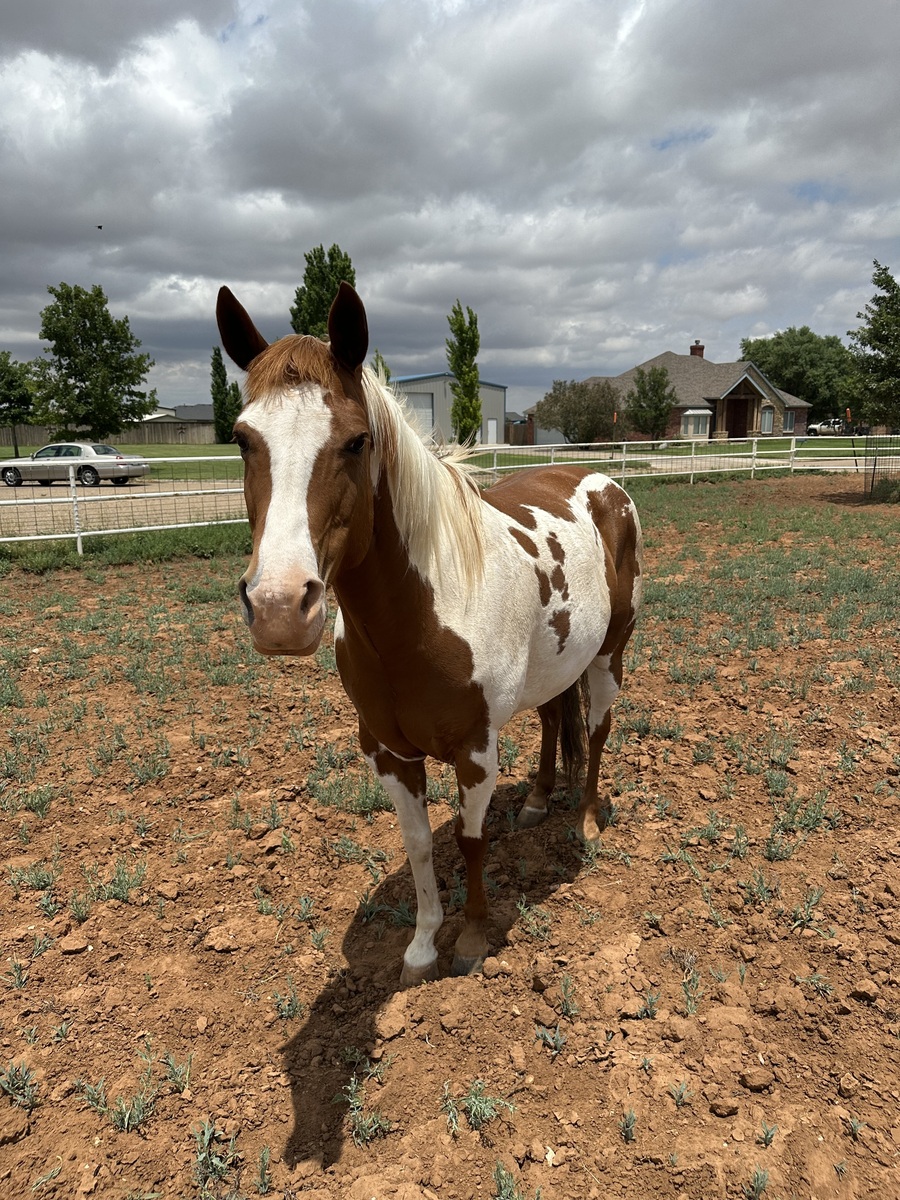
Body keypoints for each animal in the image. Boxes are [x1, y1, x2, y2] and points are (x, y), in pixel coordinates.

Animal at [216, 282, 644, 987]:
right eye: (243, 439)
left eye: (357, 441)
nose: (280, 608)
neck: (424, 614)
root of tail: (606, 484)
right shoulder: (389, 753)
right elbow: (417, 844)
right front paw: (419, 947)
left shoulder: (474, 749)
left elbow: (470, 839)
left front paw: (469, 939)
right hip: (559, 660)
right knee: (555, 718)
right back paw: (539, 800)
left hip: (609, 654)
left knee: (599, 729)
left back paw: (584, 822)